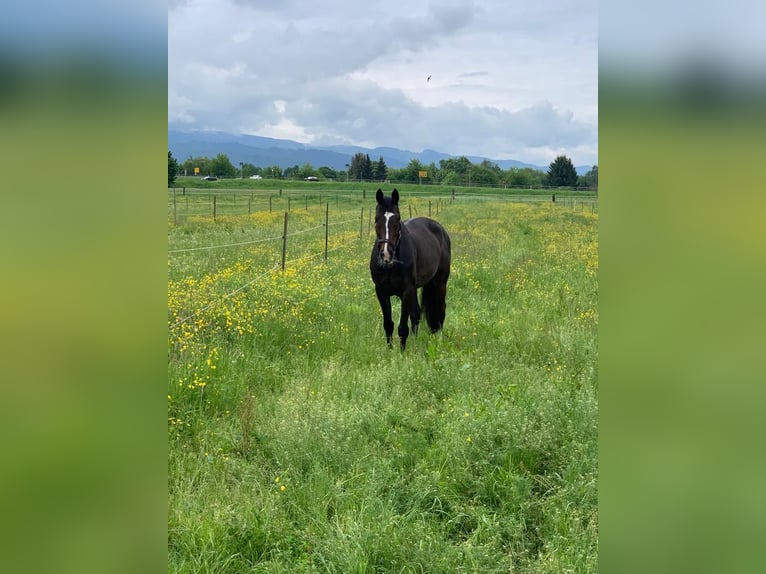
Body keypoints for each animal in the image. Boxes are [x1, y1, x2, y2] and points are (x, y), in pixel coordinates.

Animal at [369, 188, 451, 350]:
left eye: (397, 219)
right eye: (376, 219)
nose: (386, 254)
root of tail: (441, 230)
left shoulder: (406, 291)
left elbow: (402, 327)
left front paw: (402, 353)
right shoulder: (381, 292)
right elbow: (388, 324)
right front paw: (390, 351)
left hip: (440, 282)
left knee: (440, 310)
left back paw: (437, 340)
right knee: (417, 314)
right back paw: (415, 341)